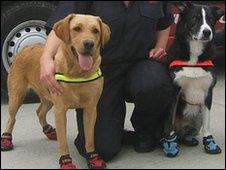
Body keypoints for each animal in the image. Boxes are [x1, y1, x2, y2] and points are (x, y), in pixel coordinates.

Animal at [0, 13, 110, 169]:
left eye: (96, 31)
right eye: (77, 28)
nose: (89, 44)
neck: (77, 73)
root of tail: (27, 47)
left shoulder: (90, 109)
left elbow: (89, 139)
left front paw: (93, 158)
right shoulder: (60, 110)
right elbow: (63, 143)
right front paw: (66, 162)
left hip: (48, 97)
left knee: (39, 111)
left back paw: (49, 131)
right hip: (17, 96)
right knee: (11, 118)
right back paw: (6, 139)